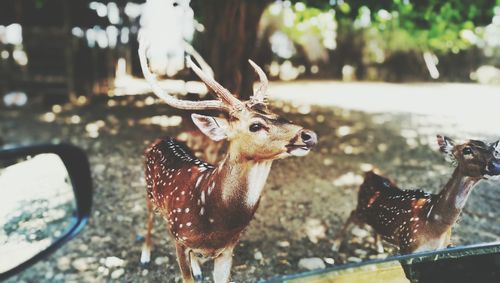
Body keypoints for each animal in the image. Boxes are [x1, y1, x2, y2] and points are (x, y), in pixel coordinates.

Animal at [137, 38, 316, 283]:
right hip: (148, 192)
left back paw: (198, 267)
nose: (308, 135)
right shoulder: (180, 238)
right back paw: (145, 255)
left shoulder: (229, 249)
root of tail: (161, 138)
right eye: (255, 125)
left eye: (276, 113)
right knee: (148, 220)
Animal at [338, 136, 498, 255]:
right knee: (351, 214)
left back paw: (379, 248)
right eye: (467, 149)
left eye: (495, 150)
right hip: (362, 209)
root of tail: (369, 173)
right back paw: (336, 245)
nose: (496, 165)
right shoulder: (407, 245)